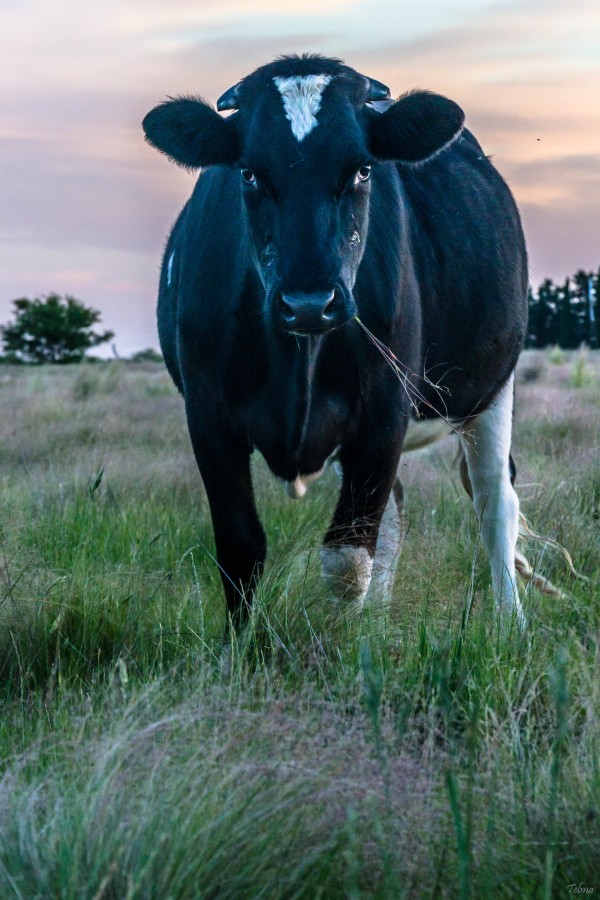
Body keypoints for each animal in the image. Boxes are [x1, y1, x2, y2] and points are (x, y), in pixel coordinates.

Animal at [143, 54, 528, 632]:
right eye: (248, 172)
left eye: (363, 170)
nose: (308, 302)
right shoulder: (207, 414)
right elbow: (240, 547)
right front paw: (240, 647)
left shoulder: (384, 411)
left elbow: (347, 560)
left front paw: (343, 641)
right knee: (396, 515)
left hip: (492, 387)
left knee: (494, 502)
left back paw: (510, 622)